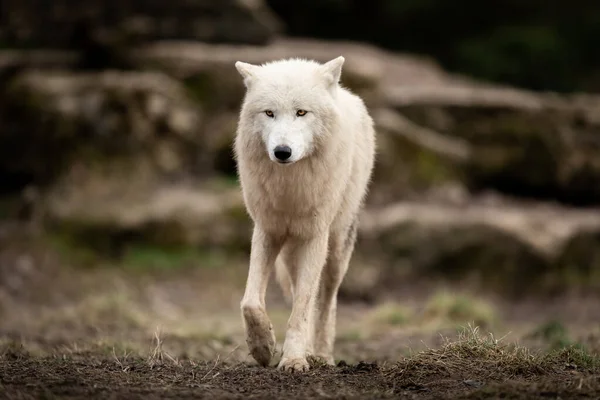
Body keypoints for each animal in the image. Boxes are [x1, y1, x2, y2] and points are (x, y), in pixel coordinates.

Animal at [233, 56, 376, 372]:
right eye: (269, 113)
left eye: (301, 112)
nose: (282, 151)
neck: (290, 188)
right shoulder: (267, 230)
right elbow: (250, 301)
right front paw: (263, 347)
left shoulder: (314, 237)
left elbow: (303, 308)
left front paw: (295, 359)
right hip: (291, 252)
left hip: (336, 250)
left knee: (326, 300)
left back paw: (321, 354)